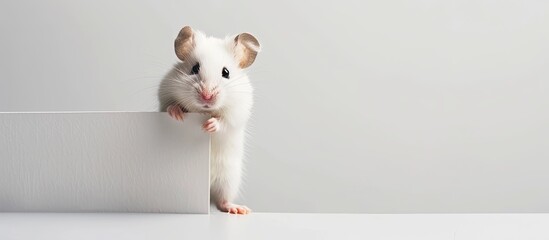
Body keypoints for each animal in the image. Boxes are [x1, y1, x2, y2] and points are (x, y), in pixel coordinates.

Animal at [157, 25, 260, 214]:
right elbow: (168, 105)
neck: (204, 110)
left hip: (229, 179)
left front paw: (209, 125)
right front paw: (177, 113)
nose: (206, 96)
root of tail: (208, 193)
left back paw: (239, 209)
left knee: (222, 200)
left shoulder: (238, 111)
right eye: (194, 68)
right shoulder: (165, 92)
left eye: (226, 72)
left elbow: (225, 121)